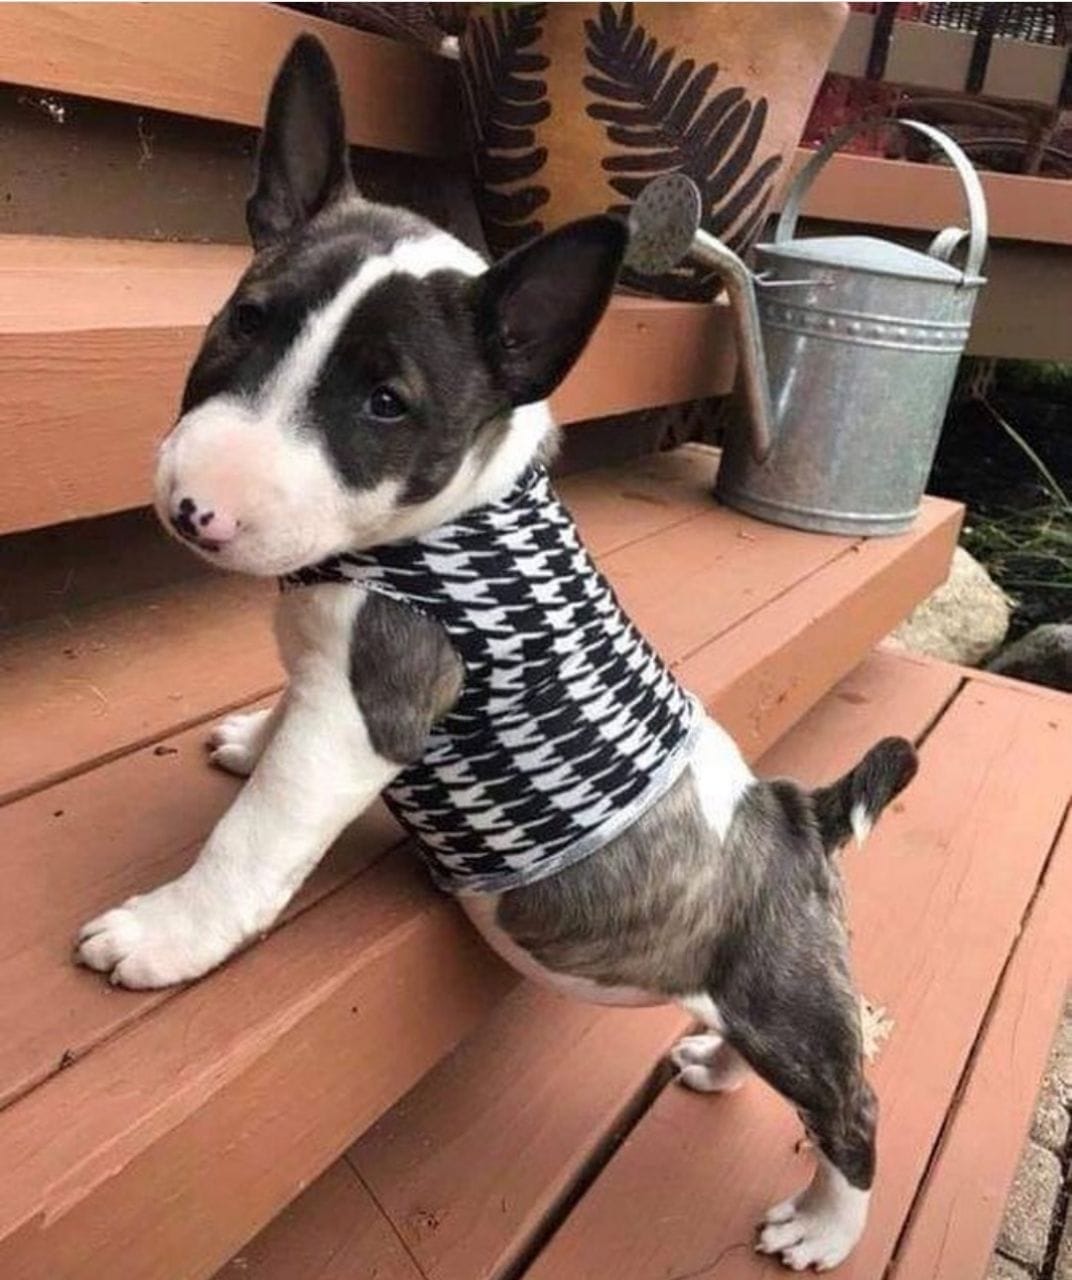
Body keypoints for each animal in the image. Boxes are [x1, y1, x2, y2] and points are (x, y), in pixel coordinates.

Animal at [75, 36, 917, 1272]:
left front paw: (164, 933)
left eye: (386, 403)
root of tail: (802, 813)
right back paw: (713, 1066)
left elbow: (254, 837)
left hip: (784, 998)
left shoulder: (366, 713)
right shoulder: (329, 676)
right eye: (245, 320)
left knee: (851, 1099)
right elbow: (279, 708)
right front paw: (243, 734)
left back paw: (822, 1225)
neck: (427, 525)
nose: (196, 508)